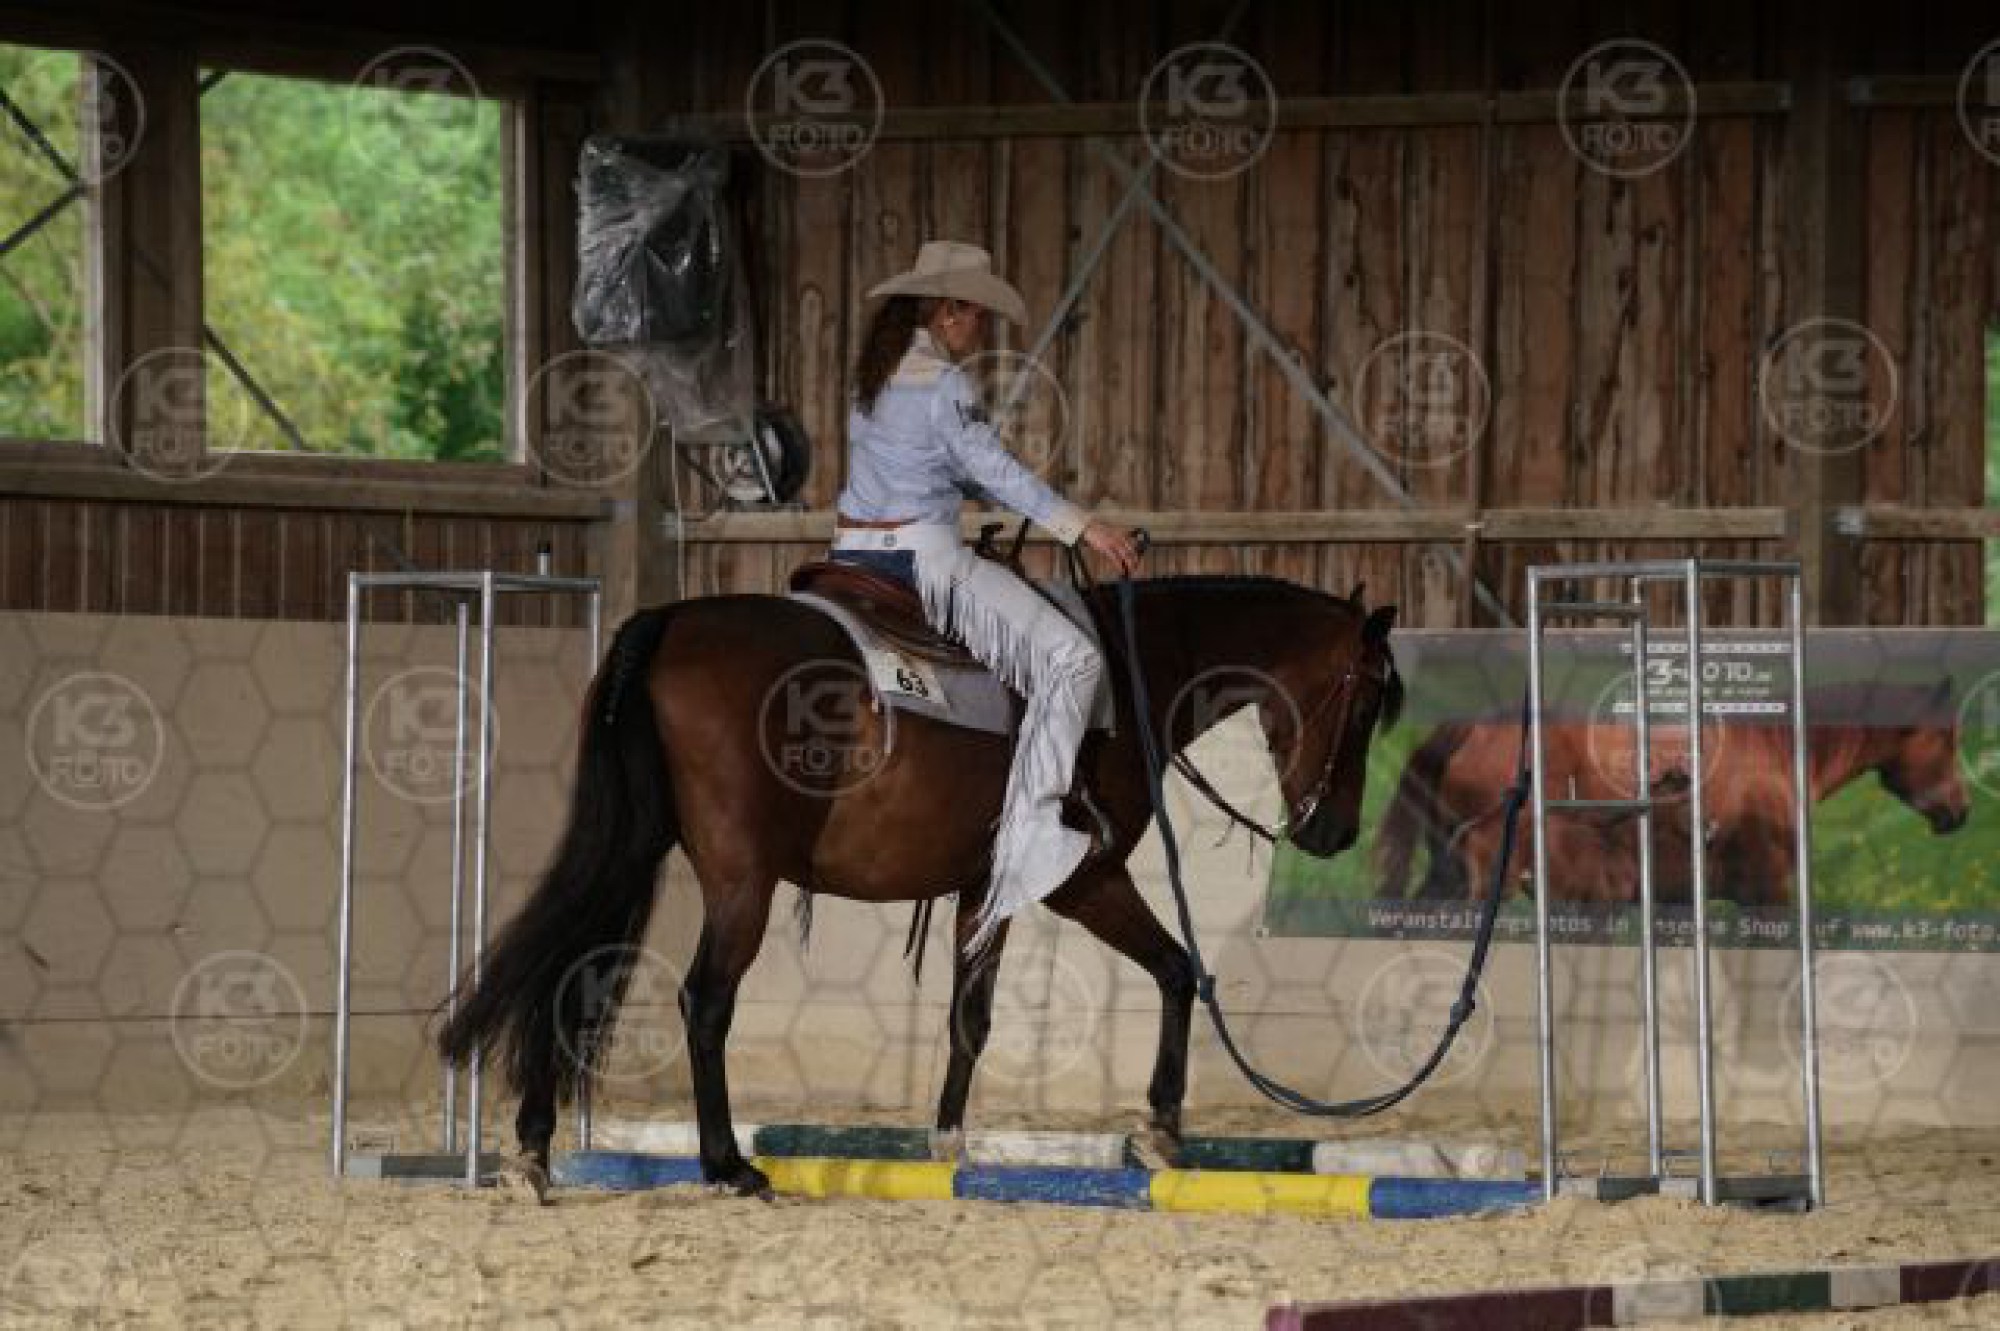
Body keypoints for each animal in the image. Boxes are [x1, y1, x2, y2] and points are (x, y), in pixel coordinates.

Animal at [438, 574, 1402, 1196]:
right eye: (1364, 706)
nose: (1334, 832)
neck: (1131, 672)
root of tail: (670, 621)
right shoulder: (1083, 878)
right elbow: (1175, 970)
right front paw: (1162, 1125)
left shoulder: (986, 888)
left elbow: (969, 1016)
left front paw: (948, 1141)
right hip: (741, 879)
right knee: (703, 1000)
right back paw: (727, 1164)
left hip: (632, 846)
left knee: (569, 964)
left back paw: (533, 1152)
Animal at [1377, 679, 1969, 906]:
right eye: (1947, 737)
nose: (1959, 810)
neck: (1776, 750)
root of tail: (1472, 729)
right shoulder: (1768, 892)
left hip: (1449, 870)